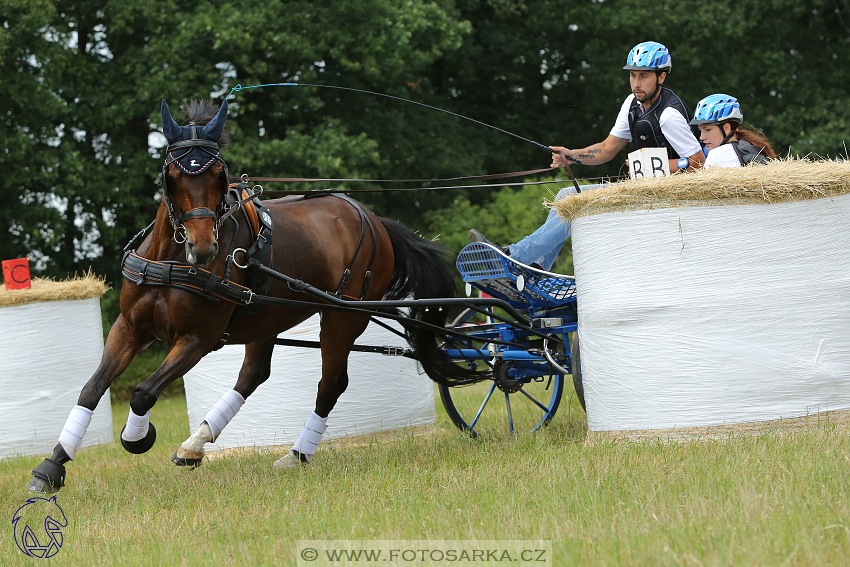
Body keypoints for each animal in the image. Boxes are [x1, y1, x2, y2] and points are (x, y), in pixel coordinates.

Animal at [29, 97, 474, 492]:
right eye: (173, 176)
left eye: (218, 175)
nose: (204, 248)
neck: (172, 262)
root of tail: (376, 219)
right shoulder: (129, 328)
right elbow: (92, 389)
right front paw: (53, 466)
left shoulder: (197, 339)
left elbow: (143, 392)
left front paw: (136, 437)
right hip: (266, 317)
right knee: (254, 374)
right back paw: (195, 444)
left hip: (343, 316)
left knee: (330, 384)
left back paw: (296, 455)